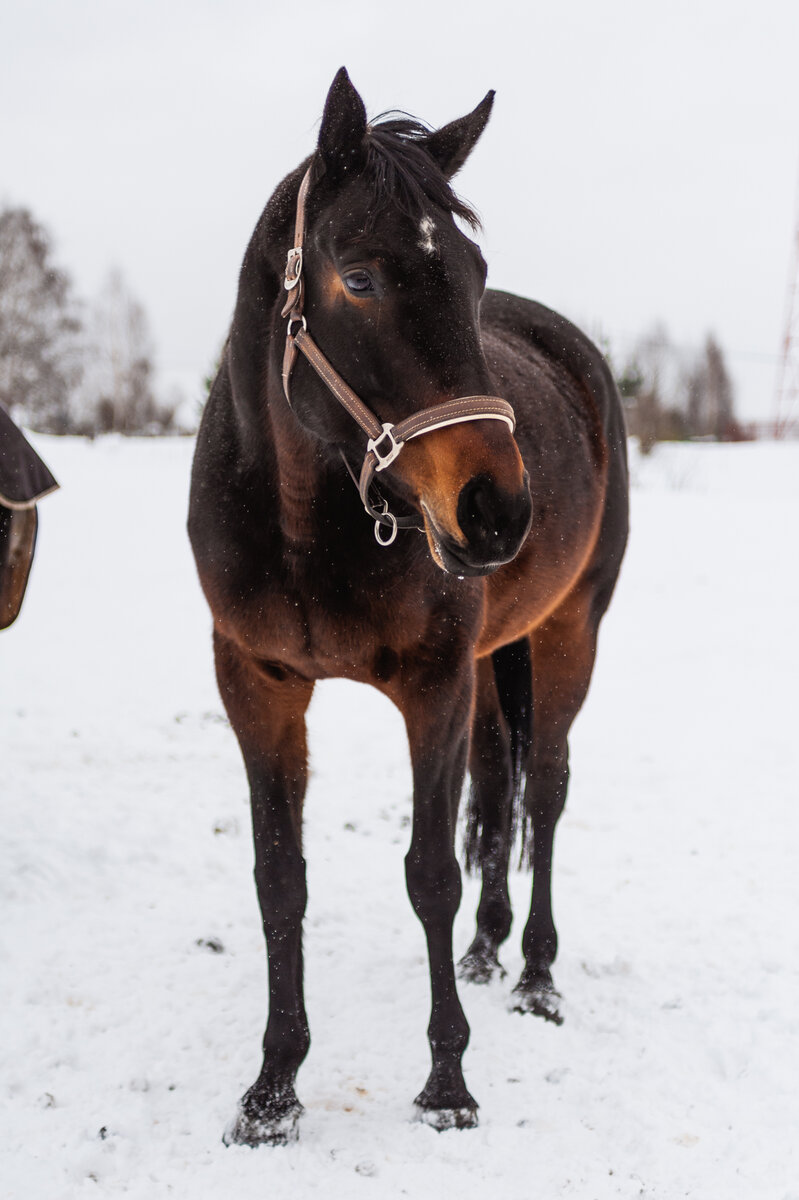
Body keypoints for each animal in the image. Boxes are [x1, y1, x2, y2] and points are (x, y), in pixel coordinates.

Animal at [188, 68, 628, 1142]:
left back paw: (537, 977)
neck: (303, 524)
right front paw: (272, 1091)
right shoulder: (256, 686)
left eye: (471, 273)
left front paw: (446, 1083)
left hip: (568, 634)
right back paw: (485, 951)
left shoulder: (432, 687)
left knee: (543, 791)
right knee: (499, 785)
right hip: (496, 658)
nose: (497, 509)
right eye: (358, 278)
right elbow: (280, 878)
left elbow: (429, 871)